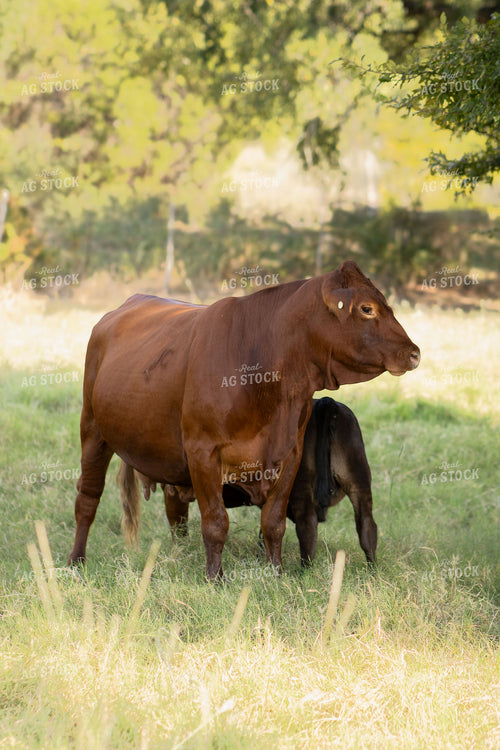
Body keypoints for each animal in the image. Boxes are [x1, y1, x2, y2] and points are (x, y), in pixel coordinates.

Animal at [120, 396, 376, 568]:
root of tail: (326, 402)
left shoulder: (174, 491)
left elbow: (178, 529)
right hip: (359, 481)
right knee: (366, 525)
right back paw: (371, 569)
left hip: (301, 489)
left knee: (307, 528)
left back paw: (305, 570)